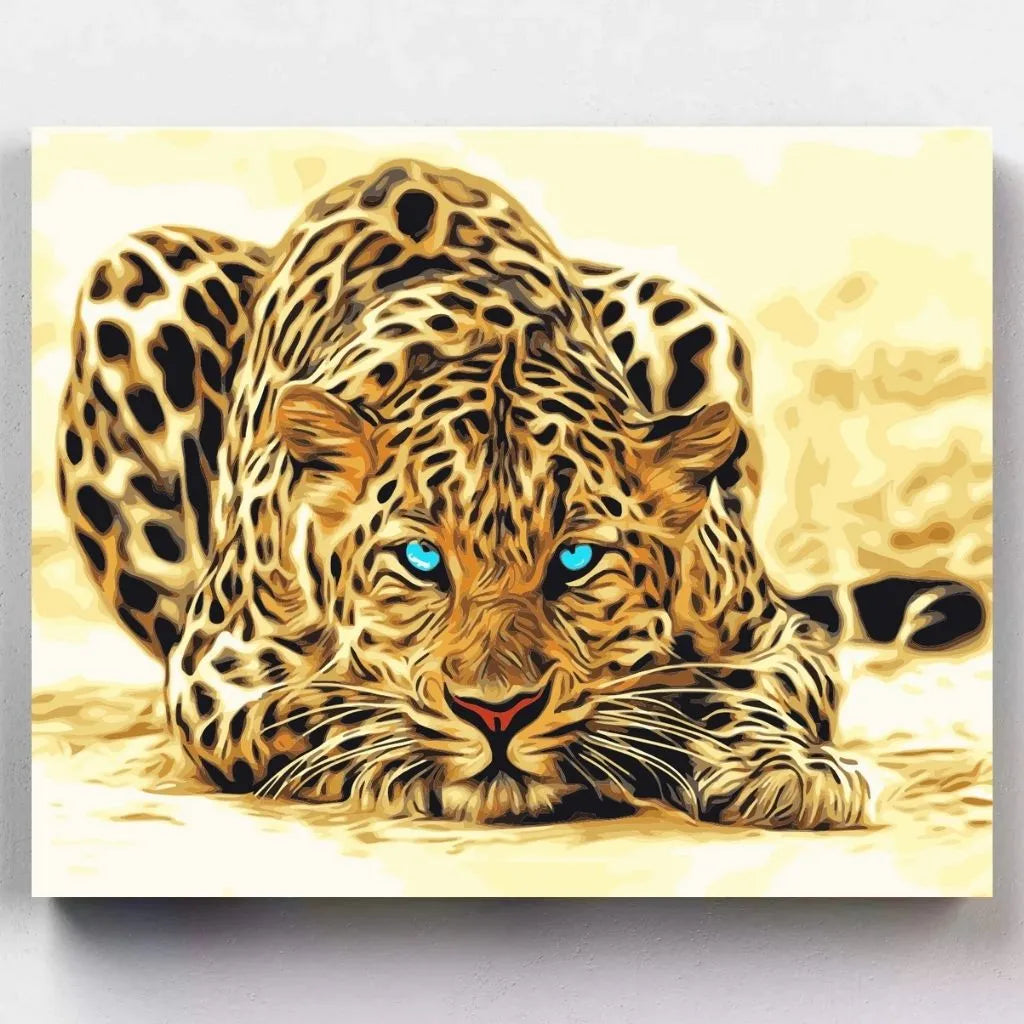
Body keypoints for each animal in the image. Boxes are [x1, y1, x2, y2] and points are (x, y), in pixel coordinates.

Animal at [56, 156, 880, 828]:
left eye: (576, 560)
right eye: (421, 560)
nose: (498, 711)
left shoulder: (775, 636)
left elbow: (729, 688)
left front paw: (785, 768)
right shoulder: (216, 668)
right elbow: (322, 705)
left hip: (687, 309)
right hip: (130, 275)